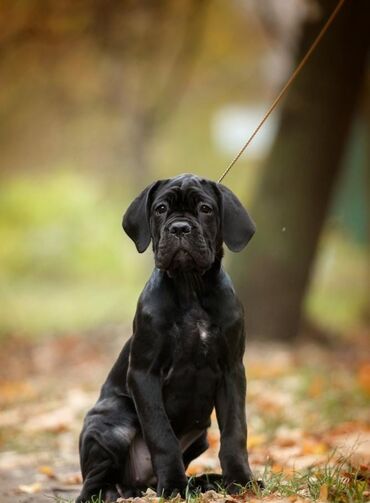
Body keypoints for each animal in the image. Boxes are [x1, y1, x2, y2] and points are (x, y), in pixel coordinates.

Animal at [77, 174, 258, 503]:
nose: (180, 228)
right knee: (93, 481)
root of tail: (136, 484)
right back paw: (106, 493)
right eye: (160, 208)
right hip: (112, 422)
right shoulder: (144, 374)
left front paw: (240, 481)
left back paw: (205, 483)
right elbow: (161, 435)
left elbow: (235, 431)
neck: (190, 289)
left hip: (201, 437)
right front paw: (173, 486)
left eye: (205, 208)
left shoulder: (232, 371)